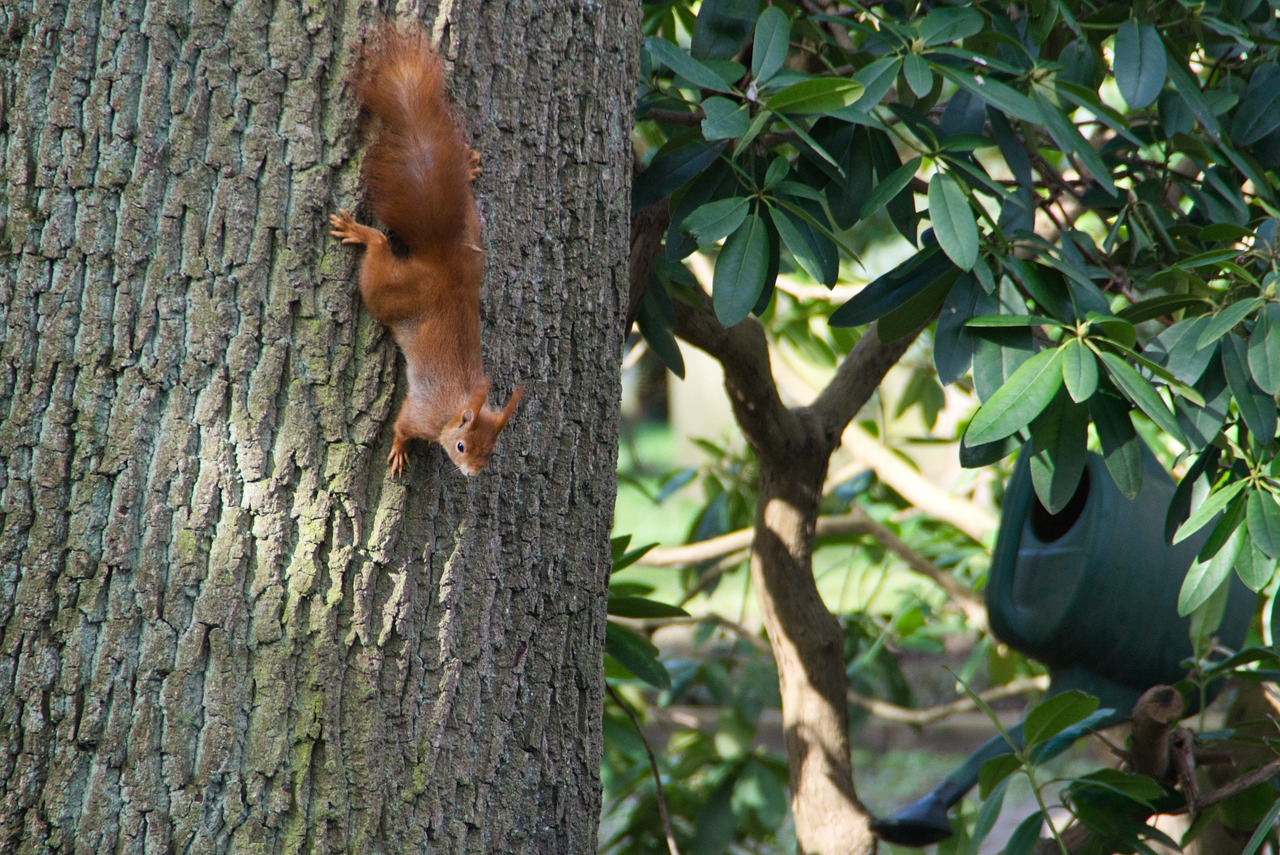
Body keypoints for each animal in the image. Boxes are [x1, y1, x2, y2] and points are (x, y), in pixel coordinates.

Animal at [330, 26, 519, 478]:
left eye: (492, 451)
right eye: (463, 446)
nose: (473, 474)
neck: (455, 408)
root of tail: (443, 262)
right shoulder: (423, 413)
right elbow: (402, 425)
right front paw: (399, 450)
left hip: (472, 242)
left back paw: (466, 164)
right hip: (389, 292)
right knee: (380, 249)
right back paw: (361, 232)